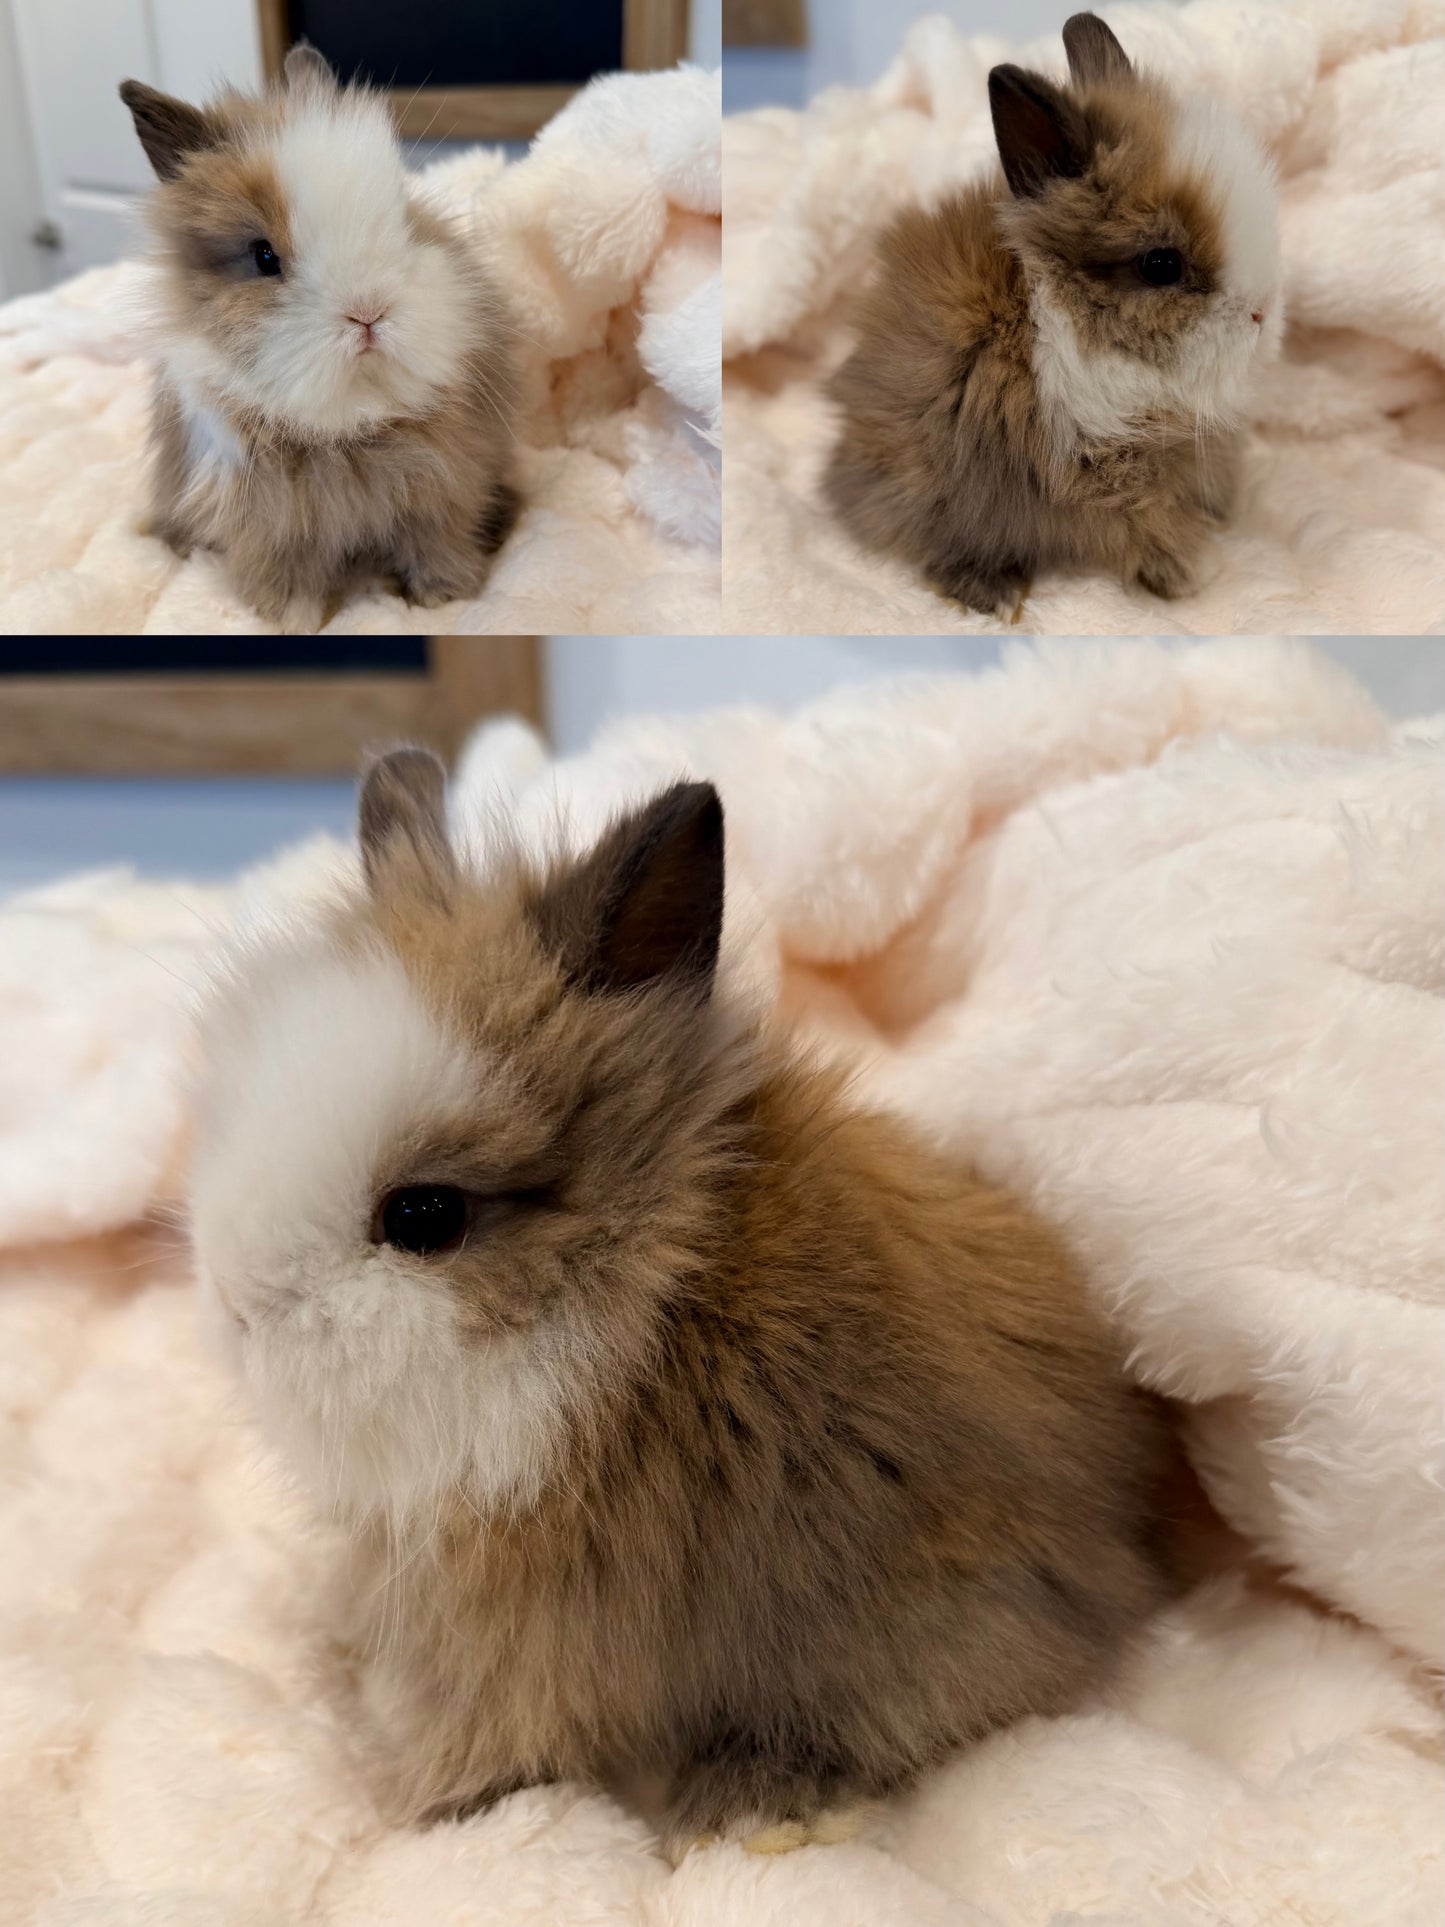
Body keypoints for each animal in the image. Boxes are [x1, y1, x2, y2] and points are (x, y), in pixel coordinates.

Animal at [119, 45, 520, 634]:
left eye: (404, 219)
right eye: (264, 256)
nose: (369, 312)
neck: (351, 419)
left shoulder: (443, 485)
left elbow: (437, 543)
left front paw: (445, 600)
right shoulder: (270, 522)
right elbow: (285, 575)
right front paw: (292, 622)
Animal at [188, 747, 1183, 1858]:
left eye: (424, 1215)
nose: (234, 1301)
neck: (631, 1304)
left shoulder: (523, 1626)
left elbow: (484, 1735)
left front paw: (418, 1810)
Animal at [823, 11, 1282, 615]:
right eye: (1160, 264)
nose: (1262, 314)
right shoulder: (1107, 476)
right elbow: (1147, 526)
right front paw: (1190, 576)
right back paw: (993, 596)